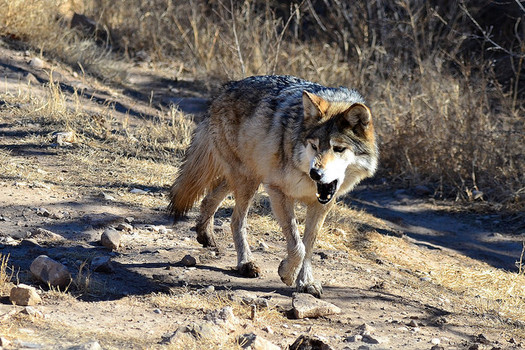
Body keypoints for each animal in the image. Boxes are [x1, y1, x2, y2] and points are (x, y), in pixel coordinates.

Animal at [168, 75, 376, 296]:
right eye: (314, 146)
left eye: (338, 149)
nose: (316, 173)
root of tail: (226, 88)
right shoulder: (278, 191)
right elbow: (298, 246)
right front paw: (288, 274)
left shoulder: (322, 203)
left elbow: (308, 246)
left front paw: (306, 282)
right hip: (248, 180)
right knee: (236, 220)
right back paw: (245, 263)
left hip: (249, 176)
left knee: (209, 198)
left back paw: (205, 234)